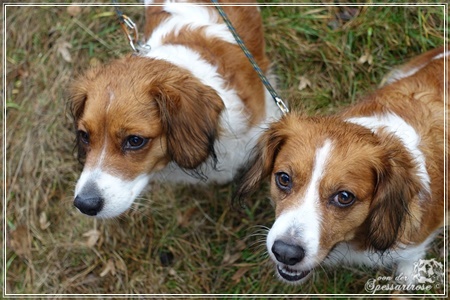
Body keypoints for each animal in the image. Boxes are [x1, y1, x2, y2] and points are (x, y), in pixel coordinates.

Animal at [236, 47, 446, 284]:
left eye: (344, 197)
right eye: (283, 178)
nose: (285, 252)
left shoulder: (417, 240)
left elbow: (411, 259)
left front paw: (410, 276)